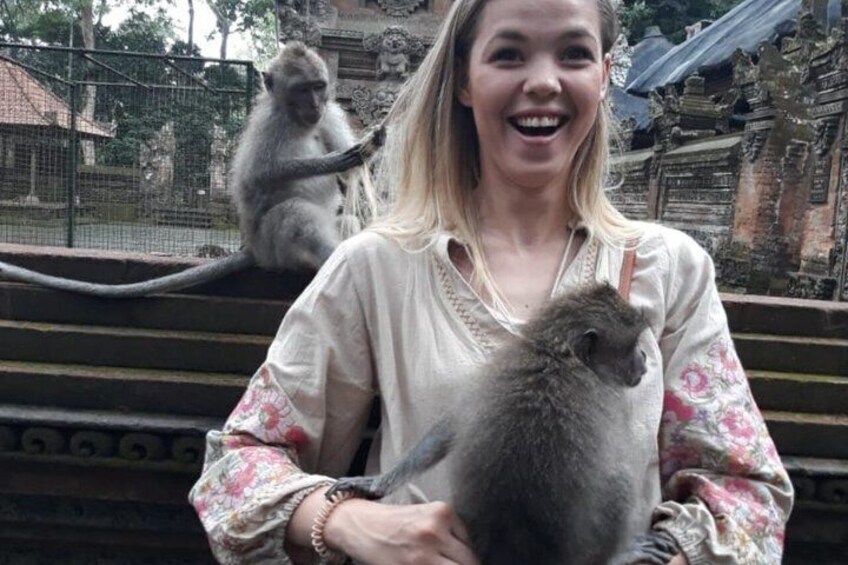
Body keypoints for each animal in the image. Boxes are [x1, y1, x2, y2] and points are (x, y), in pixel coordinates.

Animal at [0, 42, 381, 298]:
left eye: (318, 87)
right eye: (303, 89)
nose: (315, 104)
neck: (298, 120)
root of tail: (253, 250)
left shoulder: (329, 116)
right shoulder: (268, 126)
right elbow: (257, 178)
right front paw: (336, 161)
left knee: (346, 221)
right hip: (273, 249)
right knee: (294, 213)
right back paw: (328, 258)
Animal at [326, 283, 681, 565]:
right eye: (632, 345)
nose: (644, 360)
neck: (557, 355)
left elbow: (448, 428)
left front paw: (377, 483)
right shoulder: (606, 395)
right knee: (618, 475)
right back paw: (615, 556)